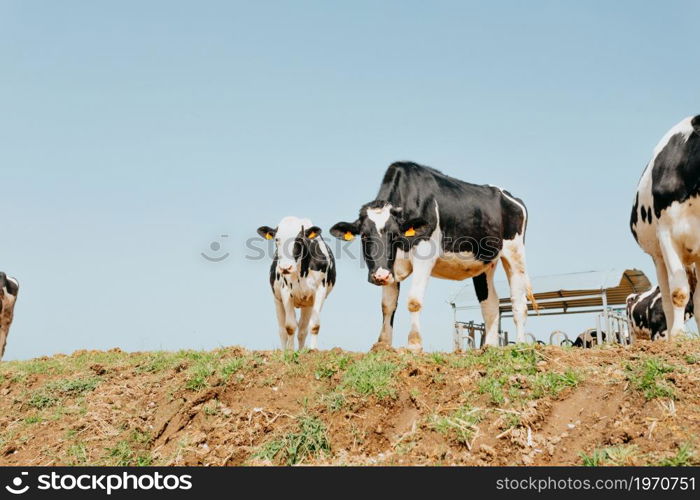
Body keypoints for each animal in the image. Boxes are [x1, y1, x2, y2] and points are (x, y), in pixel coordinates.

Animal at [258, 217, 336, 350]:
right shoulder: (285, 292)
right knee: (282, 330)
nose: (285, 267)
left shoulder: (320, 290)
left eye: (299, 239)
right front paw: (289, 351)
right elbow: (290, 327)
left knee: (302, 330)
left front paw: (312, 350)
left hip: (308, 304)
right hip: (277, 300)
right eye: (277, 239)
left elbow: (314, 325)